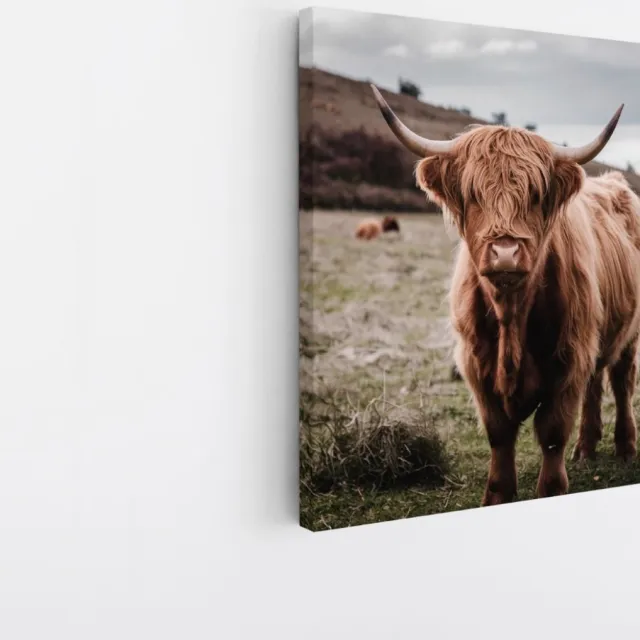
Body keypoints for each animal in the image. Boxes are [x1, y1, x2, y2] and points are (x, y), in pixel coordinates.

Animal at [371, 84, 640, 506]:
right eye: (473, 193)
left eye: (535, 194)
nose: (505, 252)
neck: (512, 315)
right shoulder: (476, 365)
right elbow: (499, 435)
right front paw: (497, 496)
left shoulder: (568, 361)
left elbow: (552, 434)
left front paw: (551, 488)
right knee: (596, 384)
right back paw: (585, 448)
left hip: (628, 333)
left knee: (621, 381)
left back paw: (626, 447)